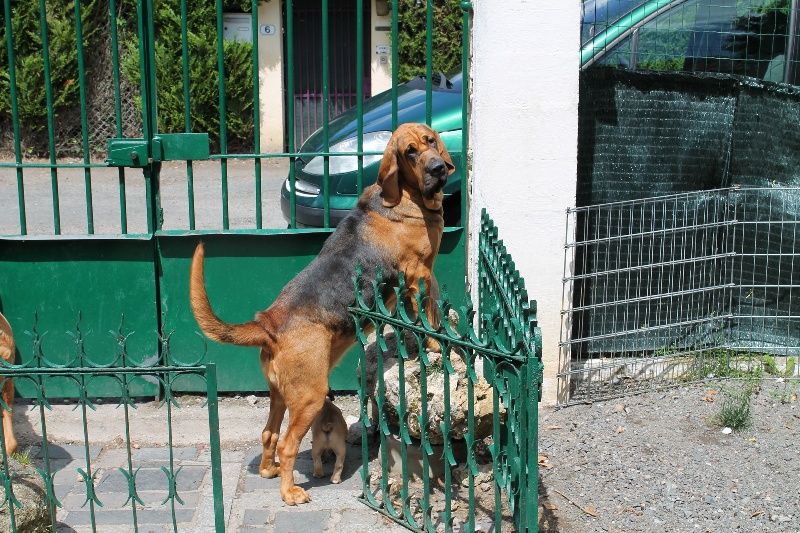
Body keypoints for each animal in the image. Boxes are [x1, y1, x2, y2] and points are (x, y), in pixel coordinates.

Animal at [186, 122, 450, 504]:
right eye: (409, 152)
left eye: (430, 141)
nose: (438, 168)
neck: (405, 195)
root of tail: (269, 325)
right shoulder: (419, 276)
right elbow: (428, 323)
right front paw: (436, 347)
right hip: (309, 398)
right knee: (287, 444)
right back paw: (290, 492)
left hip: (281, 396)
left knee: (269, 434)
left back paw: (268, 471)